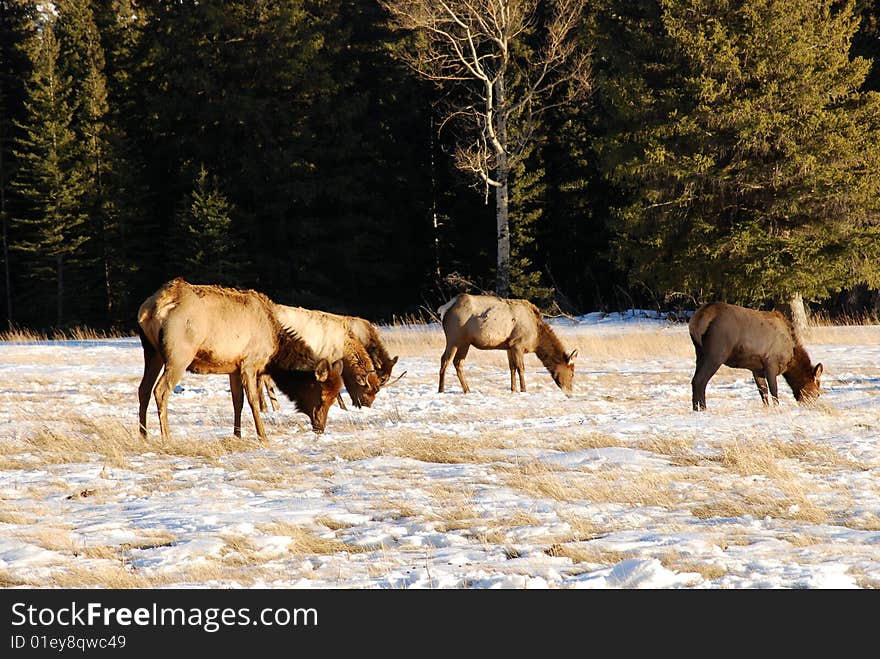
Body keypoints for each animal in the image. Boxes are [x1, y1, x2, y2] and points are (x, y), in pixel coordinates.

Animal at [138, 278, 344, 444]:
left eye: (335, 397)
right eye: (323, 396)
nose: (320, 427)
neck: (275, 349)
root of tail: (151, 308)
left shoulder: (233, 368)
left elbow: (238, 401)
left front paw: (237, 435)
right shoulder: (249, 363)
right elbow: (253, 401)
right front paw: (263, 436)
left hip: (152, 352)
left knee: (144, 389)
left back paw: (144, 435)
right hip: (179, 354)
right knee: (160, 390)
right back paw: (167, 437)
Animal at [438, 296, 576, 394]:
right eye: (572, 373)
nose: (570, 392)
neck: (536, 339)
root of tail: (446, 308)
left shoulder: (509, 346)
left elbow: (512, 367)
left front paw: (513, 389)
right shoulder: (518, 344)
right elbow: (521, 368)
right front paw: (524, 390)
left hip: (463, 342)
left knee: (455, 361)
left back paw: (463, 389)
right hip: (455, 338)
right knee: (447, 360)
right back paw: (444, 389)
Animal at [688, 302, 824, 410]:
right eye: (817, 393)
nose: (812, 407)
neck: (791, 358)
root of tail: (696, 321)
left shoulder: (757, 369)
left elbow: (763, 391)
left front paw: (766, 408)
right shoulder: (771, 363)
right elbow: (774, 390)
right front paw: (777, 408)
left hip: (699, 353)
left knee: (694, 380)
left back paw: (696, 409)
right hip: (716, 353)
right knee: (700, 380)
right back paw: (703, 409)